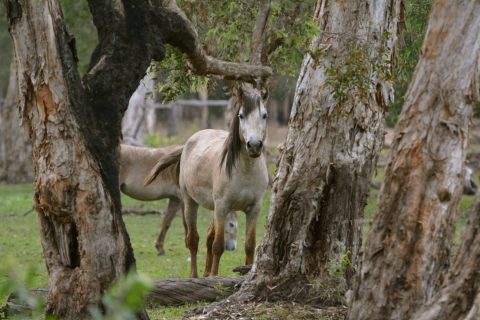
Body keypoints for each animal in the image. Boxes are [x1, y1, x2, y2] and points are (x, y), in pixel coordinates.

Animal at [144, 90, 268, 278]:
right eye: (241, 116)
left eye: (264, 115)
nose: (254, 145)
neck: (245, 171)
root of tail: (189, 143)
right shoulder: (222, 207)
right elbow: (218, 246)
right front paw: (214, 278)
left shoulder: (254, 209)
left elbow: (249, 246)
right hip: (190, 203)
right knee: (193, 240)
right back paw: (194, 276)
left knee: (208, 237)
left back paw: (205, 273)